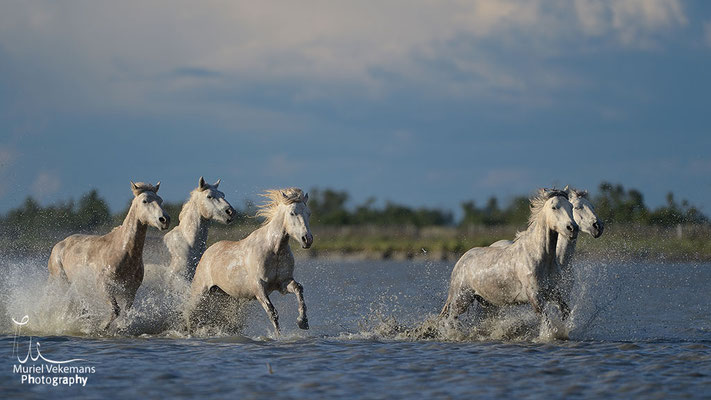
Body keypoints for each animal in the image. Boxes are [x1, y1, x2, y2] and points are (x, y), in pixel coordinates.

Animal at [188, 188, 312, 334]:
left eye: (308, 213)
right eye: (292, 213)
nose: (307, 239)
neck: (274, 249)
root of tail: (206, 253)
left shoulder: (283, 283)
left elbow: (299, 289)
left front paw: (302, 322)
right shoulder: (259, 287)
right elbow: (272, 312)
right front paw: (278, 335)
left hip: (224, 295)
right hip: (199, 293)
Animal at [440, 189, 580, 324]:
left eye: (571, 206)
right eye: (554, 207)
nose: (572, 228)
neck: (539, 256)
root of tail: (460, 262)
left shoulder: (553, 291)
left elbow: (566, 311)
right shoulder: (535, 296)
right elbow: (547, 323)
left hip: (487, 303)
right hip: (462, 300)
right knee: (449, 319)